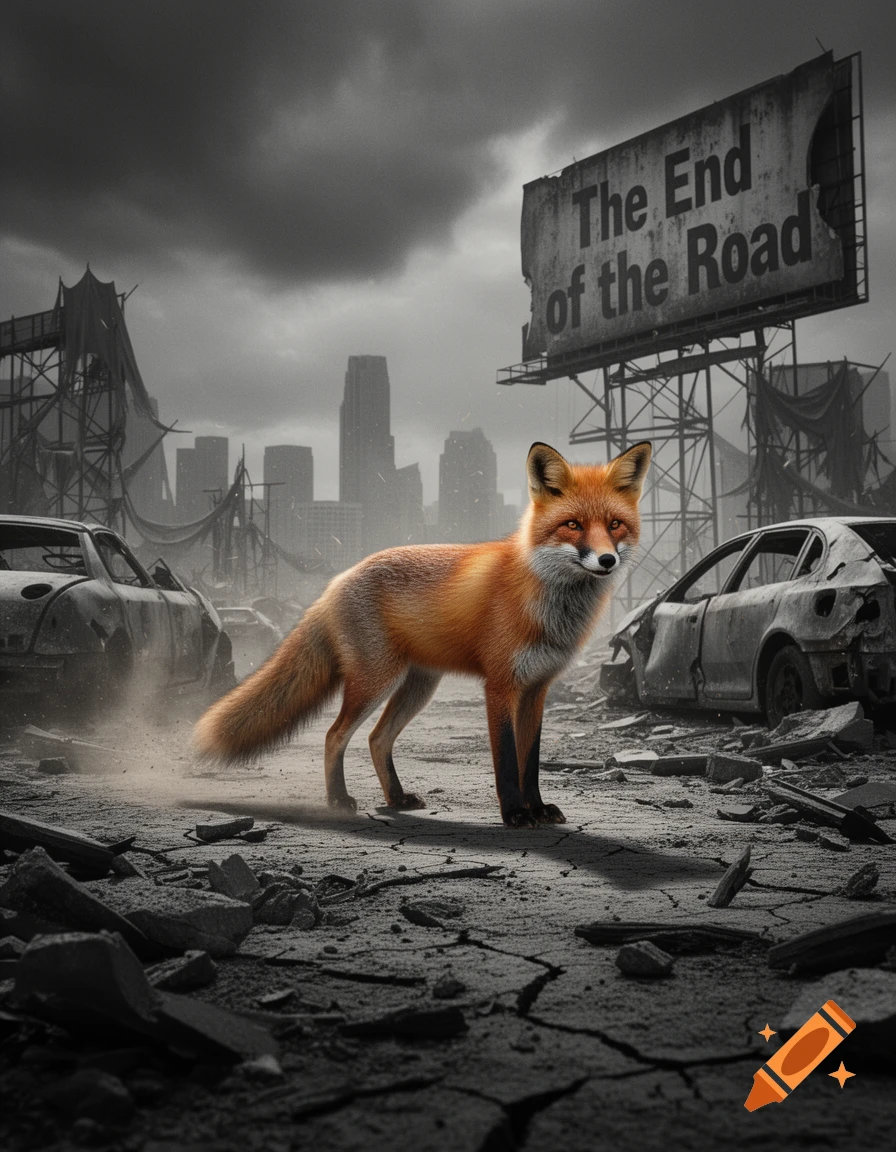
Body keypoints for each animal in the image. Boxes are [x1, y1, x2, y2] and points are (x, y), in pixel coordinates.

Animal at [194, 440, 651, 827]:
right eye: (572, 525)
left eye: (615, 525)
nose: (607, 560)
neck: (548, 603)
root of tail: (336, 580)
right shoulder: (500, 686)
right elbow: (507, 760)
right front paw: (516, 814)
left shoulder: (537, 688)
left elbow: (531, 762)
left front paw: (536, 809)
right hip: (376, 680)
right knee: (334, 734)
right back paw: (338, 800)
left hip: (419, 686)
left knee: (377, 739)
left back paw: (396, 799)